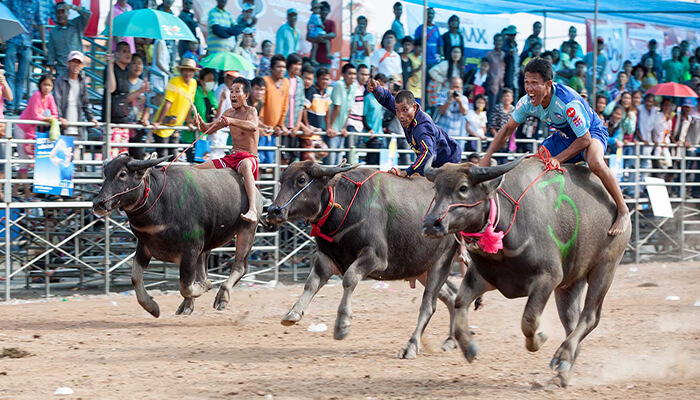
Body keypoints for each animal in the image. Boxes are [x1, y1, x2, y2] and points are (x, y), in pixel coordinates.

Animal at [90, 153, 260, 316]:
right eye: (106, 173)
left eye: (123, 174)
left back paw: (221, 297)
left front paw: (204, 287)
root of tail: (257, 192)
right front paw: (152, 307)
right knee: (204, 271)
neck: (160, 202)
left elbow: (186, 286)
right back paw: (187, 306)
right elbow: (135, 278)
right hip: (207, 246)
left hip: (247, 231)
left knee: (240, 267)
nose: (99, 203)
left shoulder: (190, 250)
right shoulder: (145, 245)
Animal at [266, 161, 462, 358]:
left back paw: (412, 346)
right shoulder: (327, 258)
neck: (343, 205)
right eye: (282, 180)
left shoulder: (376, 257)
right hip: (422, 269)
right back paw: (451, 340)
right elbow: (311, 283)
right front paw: (293, 313)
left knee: (429, 305)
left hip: (441, 262)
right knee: (452, 296)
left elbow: (349, 278)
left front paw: (342, 325)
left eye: (301, 179)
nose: (273, 211)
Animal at [424, 155, 632, 386]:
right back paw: (563, 370)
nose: (430, 223)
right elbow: (460, 303)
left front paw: (540, 339)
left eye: (463, 187)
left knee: (590, 317)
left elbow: (529, 320)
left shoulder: (548, 278)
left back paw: (563, 357)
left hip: (605, 268)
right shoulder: (483, 277)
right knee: (571, 321)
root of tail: (620, 205)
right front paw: (469, 347)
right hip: (571, 283)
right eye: (436, 187)